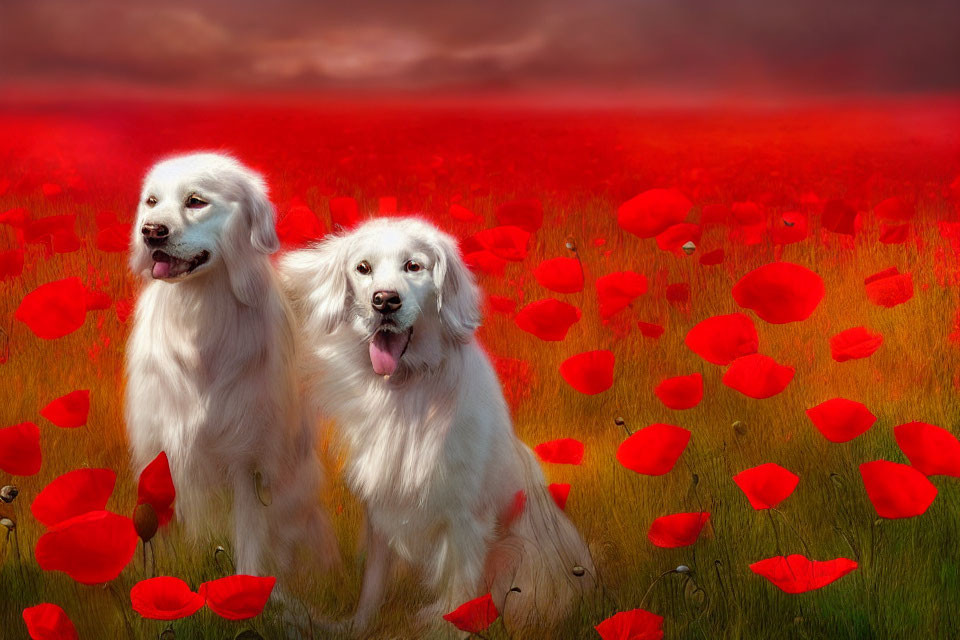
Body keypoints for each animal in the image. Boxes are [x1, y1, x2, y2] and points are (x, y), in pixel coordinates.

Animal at [125, 152, 338, 576]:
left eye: (195, 201)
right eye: (152, 202)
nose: (150, 232)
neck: (199, 309)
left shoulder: (249, 464)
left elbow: (252, 546)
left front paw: (248, 591)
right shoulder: (157, 453)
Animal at [280, 219, 592, 636]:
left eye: (413, 266)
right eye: (363, 268)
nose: (384, 301)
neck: (406, 387)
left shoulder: (466, 519)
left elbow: (460, 596)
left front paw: (450, 630)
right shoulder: (382, 508)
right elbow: (372, 584)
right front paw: (357, 627)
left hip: (518, 553)